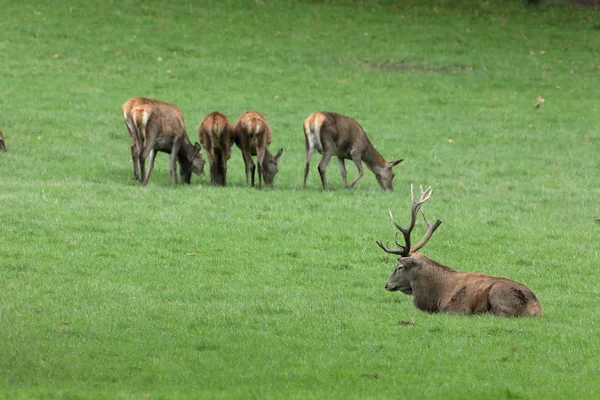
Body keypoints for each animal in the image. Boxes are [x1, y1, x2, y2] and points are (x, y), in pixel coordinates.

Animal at [378, 185, 540, 318]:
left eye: (399, 267)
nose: (387, 285)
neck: (436, 298)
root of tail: (536, 309)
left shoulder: (457, 309)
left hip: (498, 293)